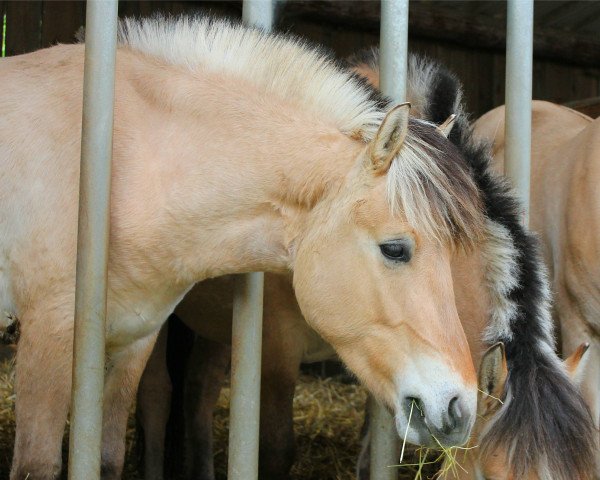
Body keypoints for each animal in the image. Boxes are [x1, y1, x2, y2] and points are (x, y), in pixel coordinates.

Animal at [0, 16, 488, 478]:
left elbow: (105, 458)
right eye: (395, 249)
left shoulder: (133, 338)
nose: (459, 409)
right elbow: (36, 464)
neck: (131, 164)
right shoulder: (50, 332)